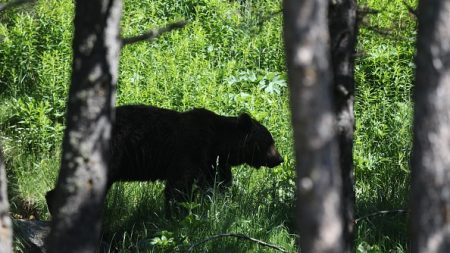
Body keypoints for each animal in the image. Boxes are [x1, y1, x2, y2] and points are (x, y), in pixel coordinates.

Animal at [46, 105, 284, 215]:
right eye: (270, 141)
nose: (279, 159)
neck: (218, 144)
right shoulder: (190, 151)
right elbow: (178, 186)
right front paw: (175, 214)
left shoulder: (211, 162)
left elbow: (217, 184)